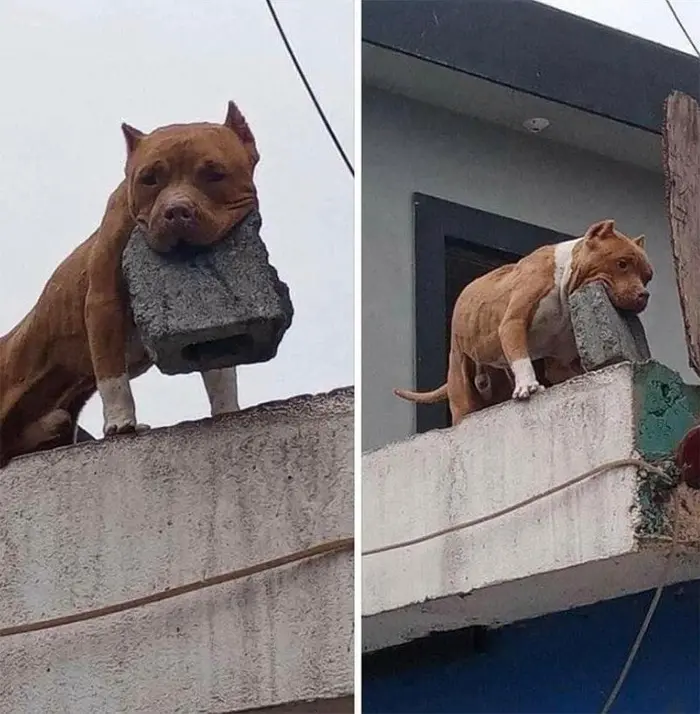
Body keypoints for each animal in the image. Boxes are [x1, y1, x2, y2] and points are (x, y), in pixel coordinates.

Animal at [0, 103, 260, 464]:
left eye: (214, 174)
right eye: (149, 180)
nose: (176, 211)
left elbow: (220, 372)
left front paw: (227, 411)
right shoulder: (102, 302)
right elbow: (112, 373)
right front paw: (122, 423)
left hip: (54, 420)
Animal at [396, 218, 652, 422]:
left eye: (647, 277)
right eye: (622, 264)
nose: (644, 295)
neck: (563, 278)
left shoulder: (560, 362)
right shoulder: (513, 322)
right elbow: (520, 356)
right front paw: (528, 385)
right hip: (460, 378)